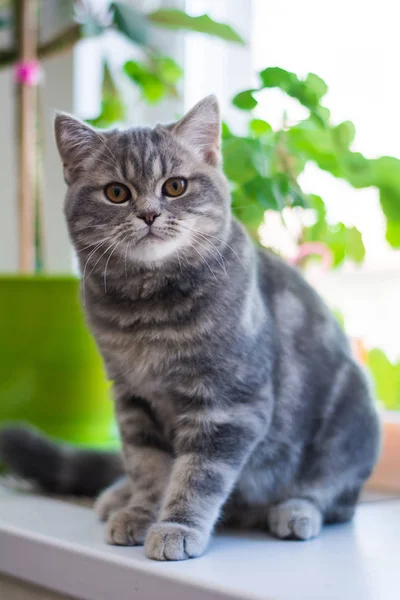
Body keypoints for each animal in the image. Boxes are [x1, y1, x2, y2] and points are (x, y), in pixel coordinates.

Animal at [0, 96, 382, 560]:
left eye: (175, 186)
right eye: (116, 193)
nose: (149, 214)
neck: (148, 315)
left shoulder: (228, 403)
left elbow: (198, 475)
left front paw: (176, 526)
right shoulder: (133, 399)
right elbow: (147, 466)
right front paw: (140, 511)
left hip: (352, 423)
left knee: (336, 498)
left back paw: (296, 510)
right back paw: (117, 495)